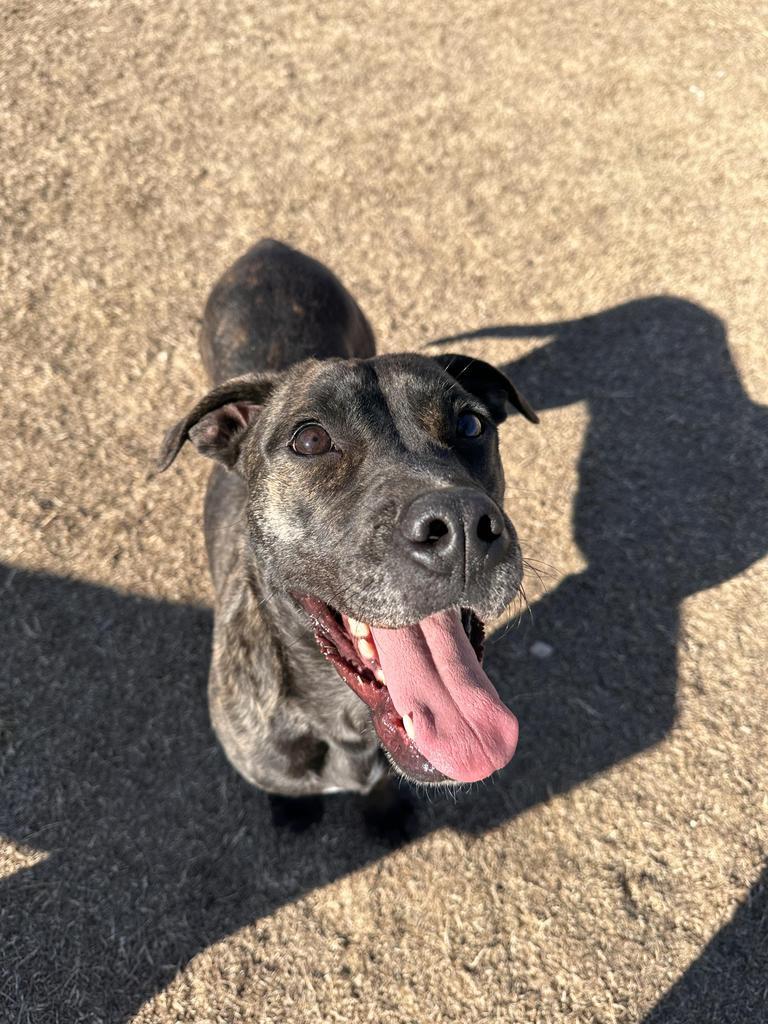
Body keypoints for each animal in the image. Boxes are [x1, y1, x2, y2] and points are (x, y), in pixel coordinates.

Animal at [157, 239, 540, 823]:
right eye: (310, 440)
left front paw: (385, 814)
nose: (460, 523)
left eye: (472, 425)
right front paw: (292, 813)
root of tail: (269, 244)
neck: (346, 724)